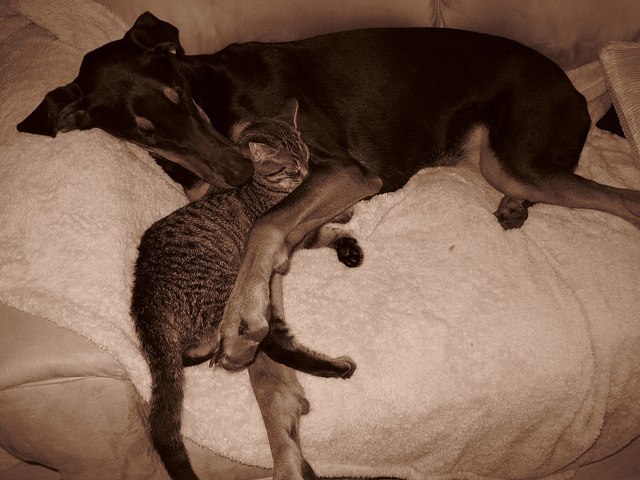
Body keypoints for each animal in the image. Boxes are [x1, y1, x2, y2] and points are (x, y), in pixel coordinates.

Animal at [131, 99, 357, 480]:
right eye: (289, 166)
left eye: (306, 155)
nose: (304, 173)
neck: (264, 188)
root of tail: (145, 301)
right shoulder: (291, 233)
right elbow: (316, 226)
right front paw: (343, 217)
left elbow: (325, 226)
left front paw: (346, 232)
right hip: (233, 297)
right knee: (273, 344)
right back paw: (334, 367)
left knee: (198, 351)